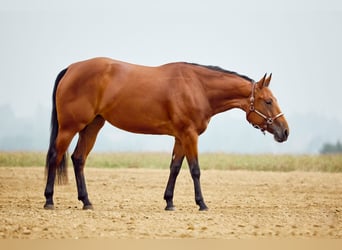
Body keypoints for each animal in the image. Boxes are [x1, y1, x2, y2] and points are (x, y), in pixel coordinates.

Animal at [42, 57, 288, 211]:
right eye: (268, 101)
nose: (285, 131)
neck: (197, 87)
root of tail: (71, 69)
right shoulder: (190, 135)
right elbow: (195, 170)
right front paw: (202, 204)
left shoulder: (180, 137)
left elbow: (175, 168)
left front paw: (169, 202)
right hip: (70, 127)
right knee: (55, 156)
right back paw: (49, 200)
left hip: (92, 126)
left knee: (78, 159)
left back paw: (86, 201)